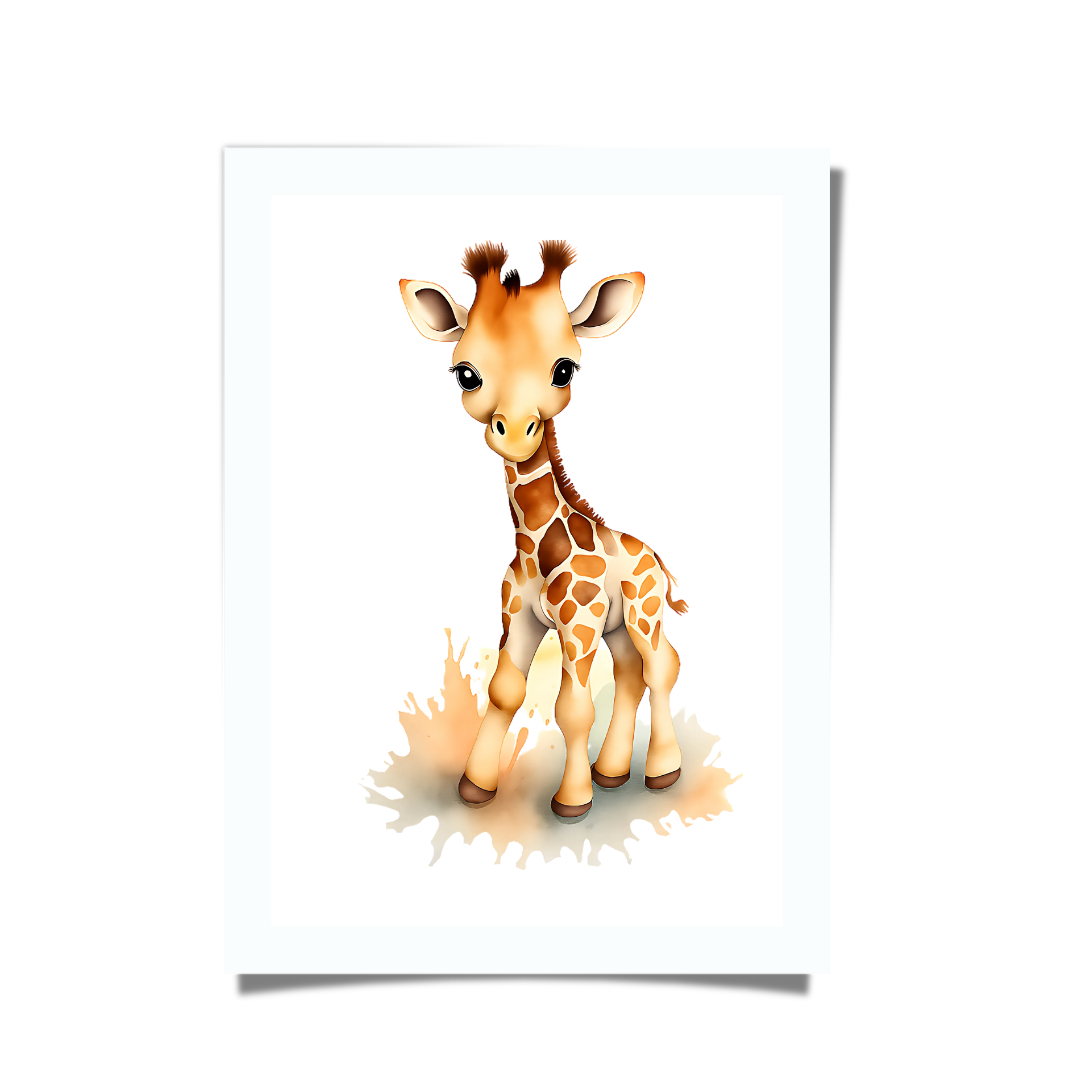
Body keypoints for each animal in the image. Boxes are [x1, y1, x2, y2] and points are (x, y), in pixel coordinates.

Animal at [399, 241, 688, 821]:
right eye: (466, 373)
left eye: (564, 369)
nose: (514, 432)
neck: (534, 544)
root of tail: (654, 558)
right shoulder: (519, 620)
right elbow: (506, 690)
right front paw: (476, 786)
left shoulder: (577, 627)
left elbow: (571, 706)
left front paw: (571, 801)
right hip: (616, 626)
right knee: (630, 673)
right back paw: (612, 771)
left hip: (642, 613)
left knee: (659, 665)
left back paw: (662, 772)